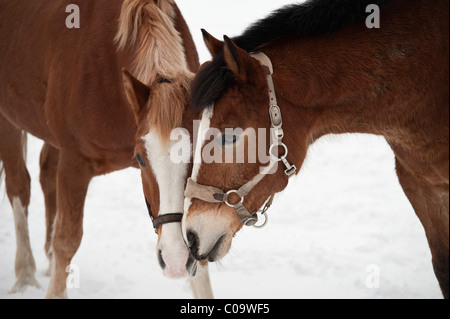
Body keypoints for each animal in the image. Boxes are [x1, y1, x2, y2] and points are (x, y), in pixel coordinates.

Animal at [0, 0, 213, 300]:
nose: (175, 260)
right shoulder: (75, 163)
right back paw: (24, 275)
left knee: (45, 174)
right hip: (7, 120)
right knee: (19, 185)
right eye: (140, 159)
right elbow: (67, 239)